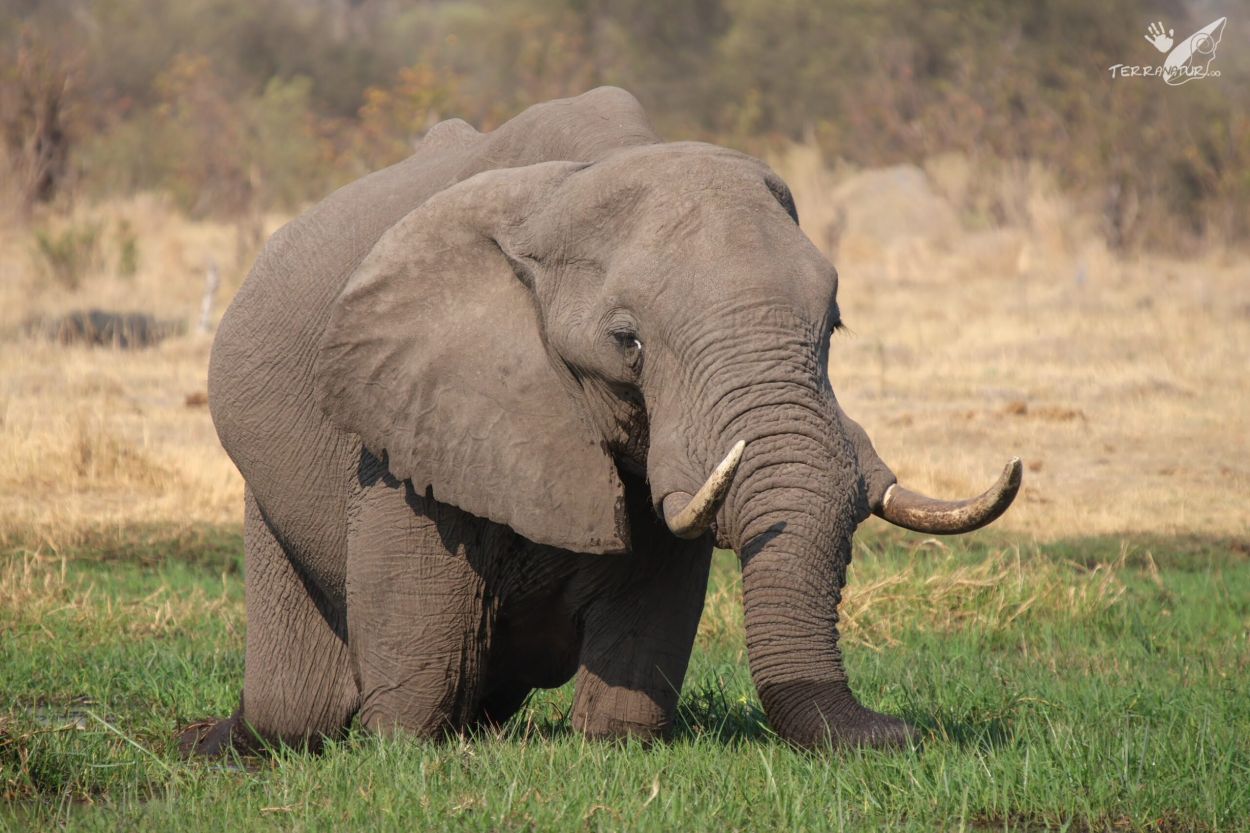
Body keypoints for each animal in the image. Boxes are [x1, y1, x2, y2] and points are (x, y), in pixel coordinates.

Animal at [181, 87, 1020, 755]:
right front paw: (404, 751)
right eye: (629, 341)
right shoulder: (409, 410)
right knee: (301, 702)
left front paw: (610, 744)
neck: (571, 186)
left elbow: (654, 602)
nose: (901, 732)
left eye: (836, 323)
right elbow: (419, 630)